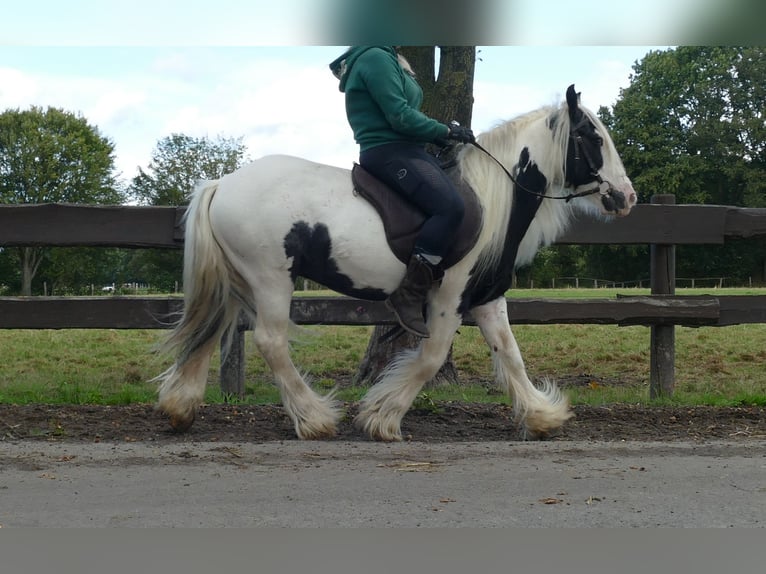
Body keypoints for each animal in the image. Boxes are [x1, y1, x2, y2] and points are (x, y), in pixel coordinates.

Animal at [153, 85, 640, 444]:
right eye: (594, 138)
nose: (627, 197)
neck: (491, 200)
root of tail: (222, 184)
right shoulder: (449, 297)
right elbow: (430, 357)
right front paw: (381, 417)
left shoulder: (486, 297)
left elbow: (511, 354)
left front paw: (542, 416)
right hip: (271, 279)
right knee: (270, 343)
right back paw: (314, 418)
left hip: (236, 280)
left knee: (209, 330)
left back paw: (181, 409)